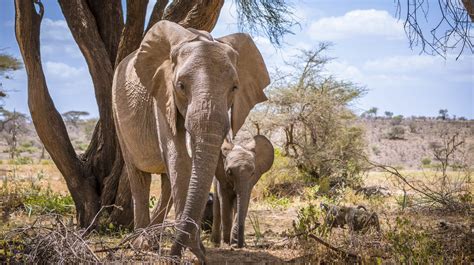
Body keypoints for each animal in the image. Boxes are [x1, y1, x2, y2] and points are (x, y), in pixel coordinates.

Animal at [109, 20, 268, 260]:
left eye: (234, 87)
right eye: (181, 86)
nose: (175, 254)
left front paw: (195, 250)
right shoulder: (163, 94)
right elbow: (179, 157)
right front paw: (191, 251)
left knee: (166, 183)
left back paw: (154, 242)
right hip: (118, 114)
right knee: (139, 177)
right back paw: (142, 245)